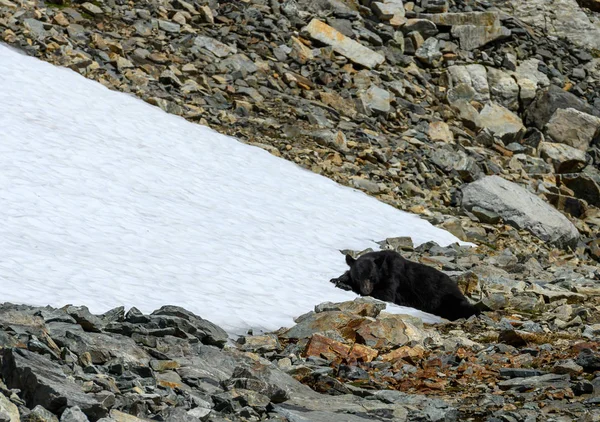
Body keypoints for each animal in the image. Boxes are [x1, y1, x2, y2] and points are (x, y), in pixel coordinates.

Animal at [330, 249, 480, 322]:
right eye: (358, 277)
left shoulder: (393, 277)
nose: (366, 290)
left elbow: (386, 295)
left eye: (372, 277)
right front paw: (338, 279)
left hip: (446, 298)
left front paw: (346, 285)